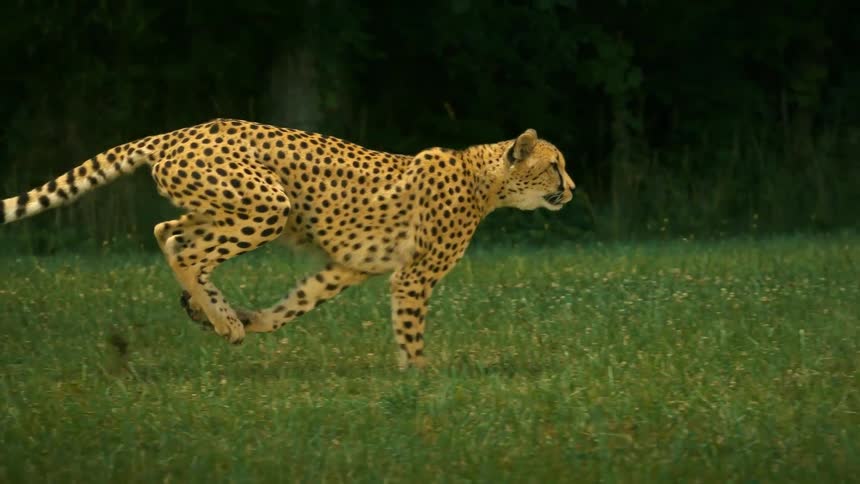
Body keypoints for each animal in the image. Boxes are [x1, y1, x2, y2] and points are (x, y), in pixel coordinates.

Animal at [1, 119, 575, 368]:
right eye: (555, 165)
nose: (571, 189)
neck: (485, 181)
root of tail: (184, 130)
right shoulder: (413, 276)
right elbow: (411, 332)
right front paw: (422, 380)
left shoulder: (347, 267)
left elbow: (296, 303)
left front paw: (255, 320)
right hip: (267, 206)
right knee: (184, 247)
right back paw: (220, 321)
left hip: (224, 207)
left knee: (169, 232)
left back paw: (218, 314)